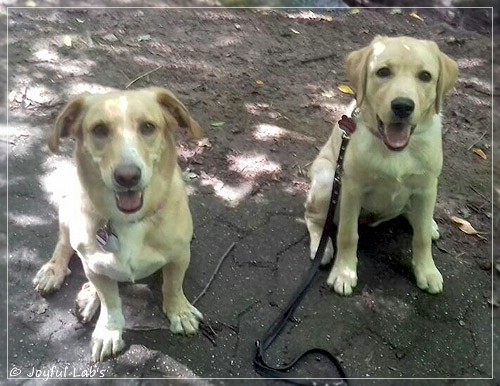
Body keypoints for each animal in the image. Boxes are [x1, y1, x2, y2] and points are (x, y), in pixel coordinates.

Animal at [34, 87, 204, 362]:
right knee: (65, 244)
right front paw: (109, 330)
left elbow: (172, 286)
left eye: (148, 127)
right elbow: (110, 301)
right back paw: (57, 273)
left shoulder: (180, 255)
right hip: (70, 211)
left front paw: (179, 311)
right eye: (99, 130)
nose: (127, 177)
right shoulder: (96, 268)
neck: (129, 221)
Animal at [302, 36, 458, 296]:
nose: (403, 106)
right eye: (383, 72)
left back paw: (429, 223)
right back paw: (321, 248)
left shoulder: (427, 187)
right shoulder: (352, 188)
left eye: (425, 76)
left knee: (417, 217)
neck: (396, 151)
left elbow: (422, 238)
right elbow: (348, 234)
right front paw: (344, 273)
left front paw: (427, 271)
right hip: (327, 180)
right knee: (314, 217)